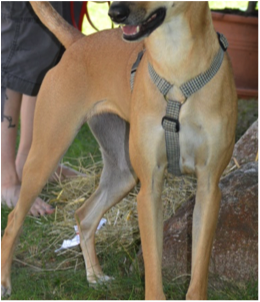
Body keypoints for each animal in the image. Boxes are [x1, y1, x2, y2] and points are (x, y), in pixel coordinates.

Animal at [0, 1, 238, 300]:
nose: (115, 13)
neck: (177, 66)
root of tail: (79, 41)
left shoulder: (208, 188)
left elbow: (198, 270)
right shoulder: (149, 189)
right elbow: (153, 268)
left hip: (122, 173)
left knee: (84, 216)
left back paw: (95, 277)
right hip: (46, 155)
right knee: (13, 220)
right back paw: (5, 282)